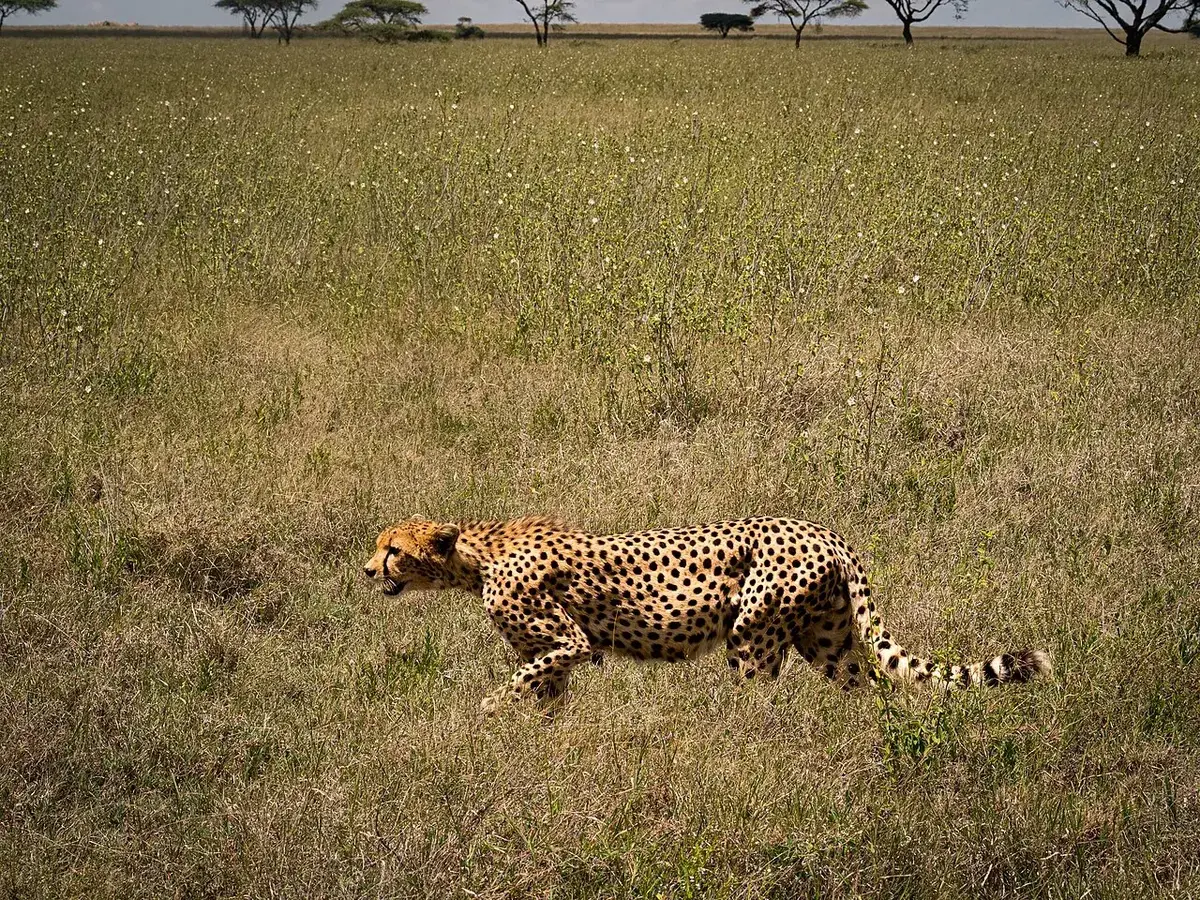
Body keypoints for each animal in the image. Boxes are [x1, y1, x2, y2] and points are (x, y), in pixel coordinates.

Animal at [362, 515, 1051, 713]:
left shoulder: (569, 642)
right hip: (827, 641)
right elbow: (541, 690)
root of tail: (825, 530)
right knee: (866, 686)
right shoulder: (550, 654)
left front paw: (486, 712)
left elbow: (523, 677)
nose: (368, 571)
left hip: (752, 634)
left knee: (758, 698)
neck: (475, 555)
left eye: (392, 549)